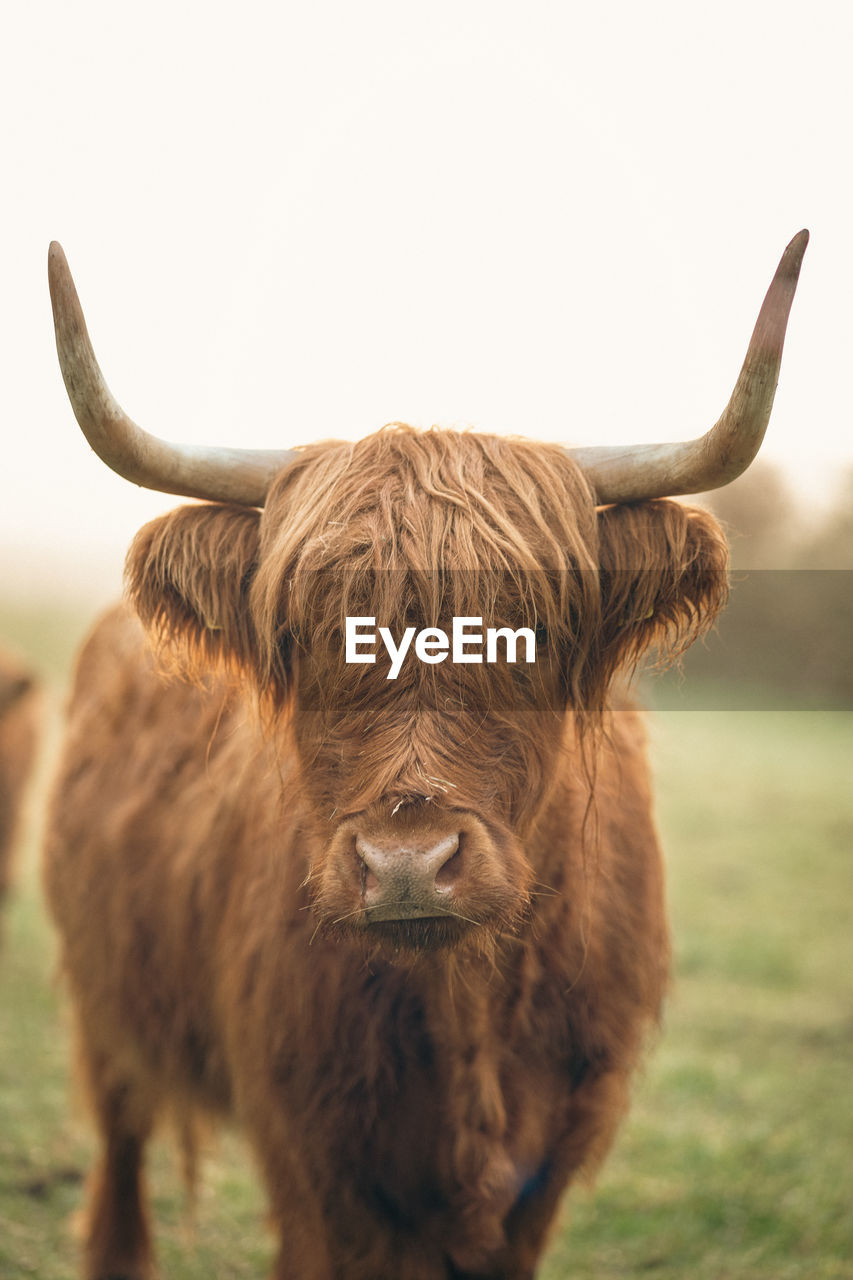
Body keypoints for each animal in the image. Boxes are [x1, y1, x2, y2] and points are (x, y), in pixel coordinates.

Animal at [44, 232, 804, 1280]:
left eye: (531, 632)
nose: (407, 864)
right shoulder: (312, 1161)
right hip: (105, 995)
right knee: (120, 1160)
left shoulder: (545, 1167)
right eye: (300, 634)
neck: (466, 1006)